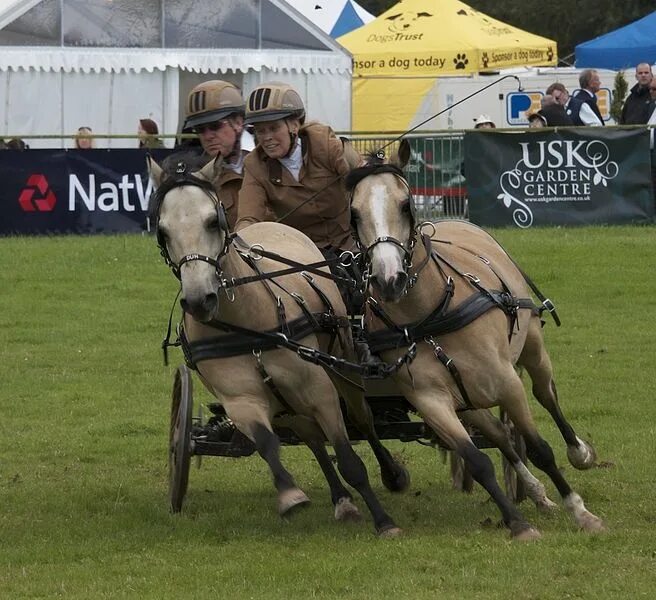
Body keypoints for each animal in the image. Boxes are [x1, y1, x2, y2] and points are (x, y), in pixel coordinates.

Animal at [147, 152, 410, 536]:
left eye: (213, 221)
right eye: (163, 231)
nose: (199, 300)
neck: (247, 323)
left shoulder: (319, 389)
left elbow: (348, 456)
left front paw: (384, 521)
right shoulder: (241, 400)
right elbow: (268, 444)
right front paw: (290, 495)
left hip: (343, 371)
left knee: (362, 422)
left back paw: (391, 475)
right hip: (287, 404)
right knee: (312, 438)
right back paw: (341, 500)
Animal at [348, 141, 604, 540]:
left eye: (405, 204)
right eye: (355, 213)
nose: (389, 280)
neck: (429, 317)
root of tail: (456, 221)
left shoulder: (508, 383)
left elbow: (540, 448)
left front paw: (579, 511)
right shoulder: (432, 401)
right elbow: (478, 460)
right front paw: (518, 524)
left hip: (531, 347)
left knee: (546, 396)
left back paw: (579, 453)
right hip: (468, 399)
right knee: (499, 434)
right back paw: (535, 491)